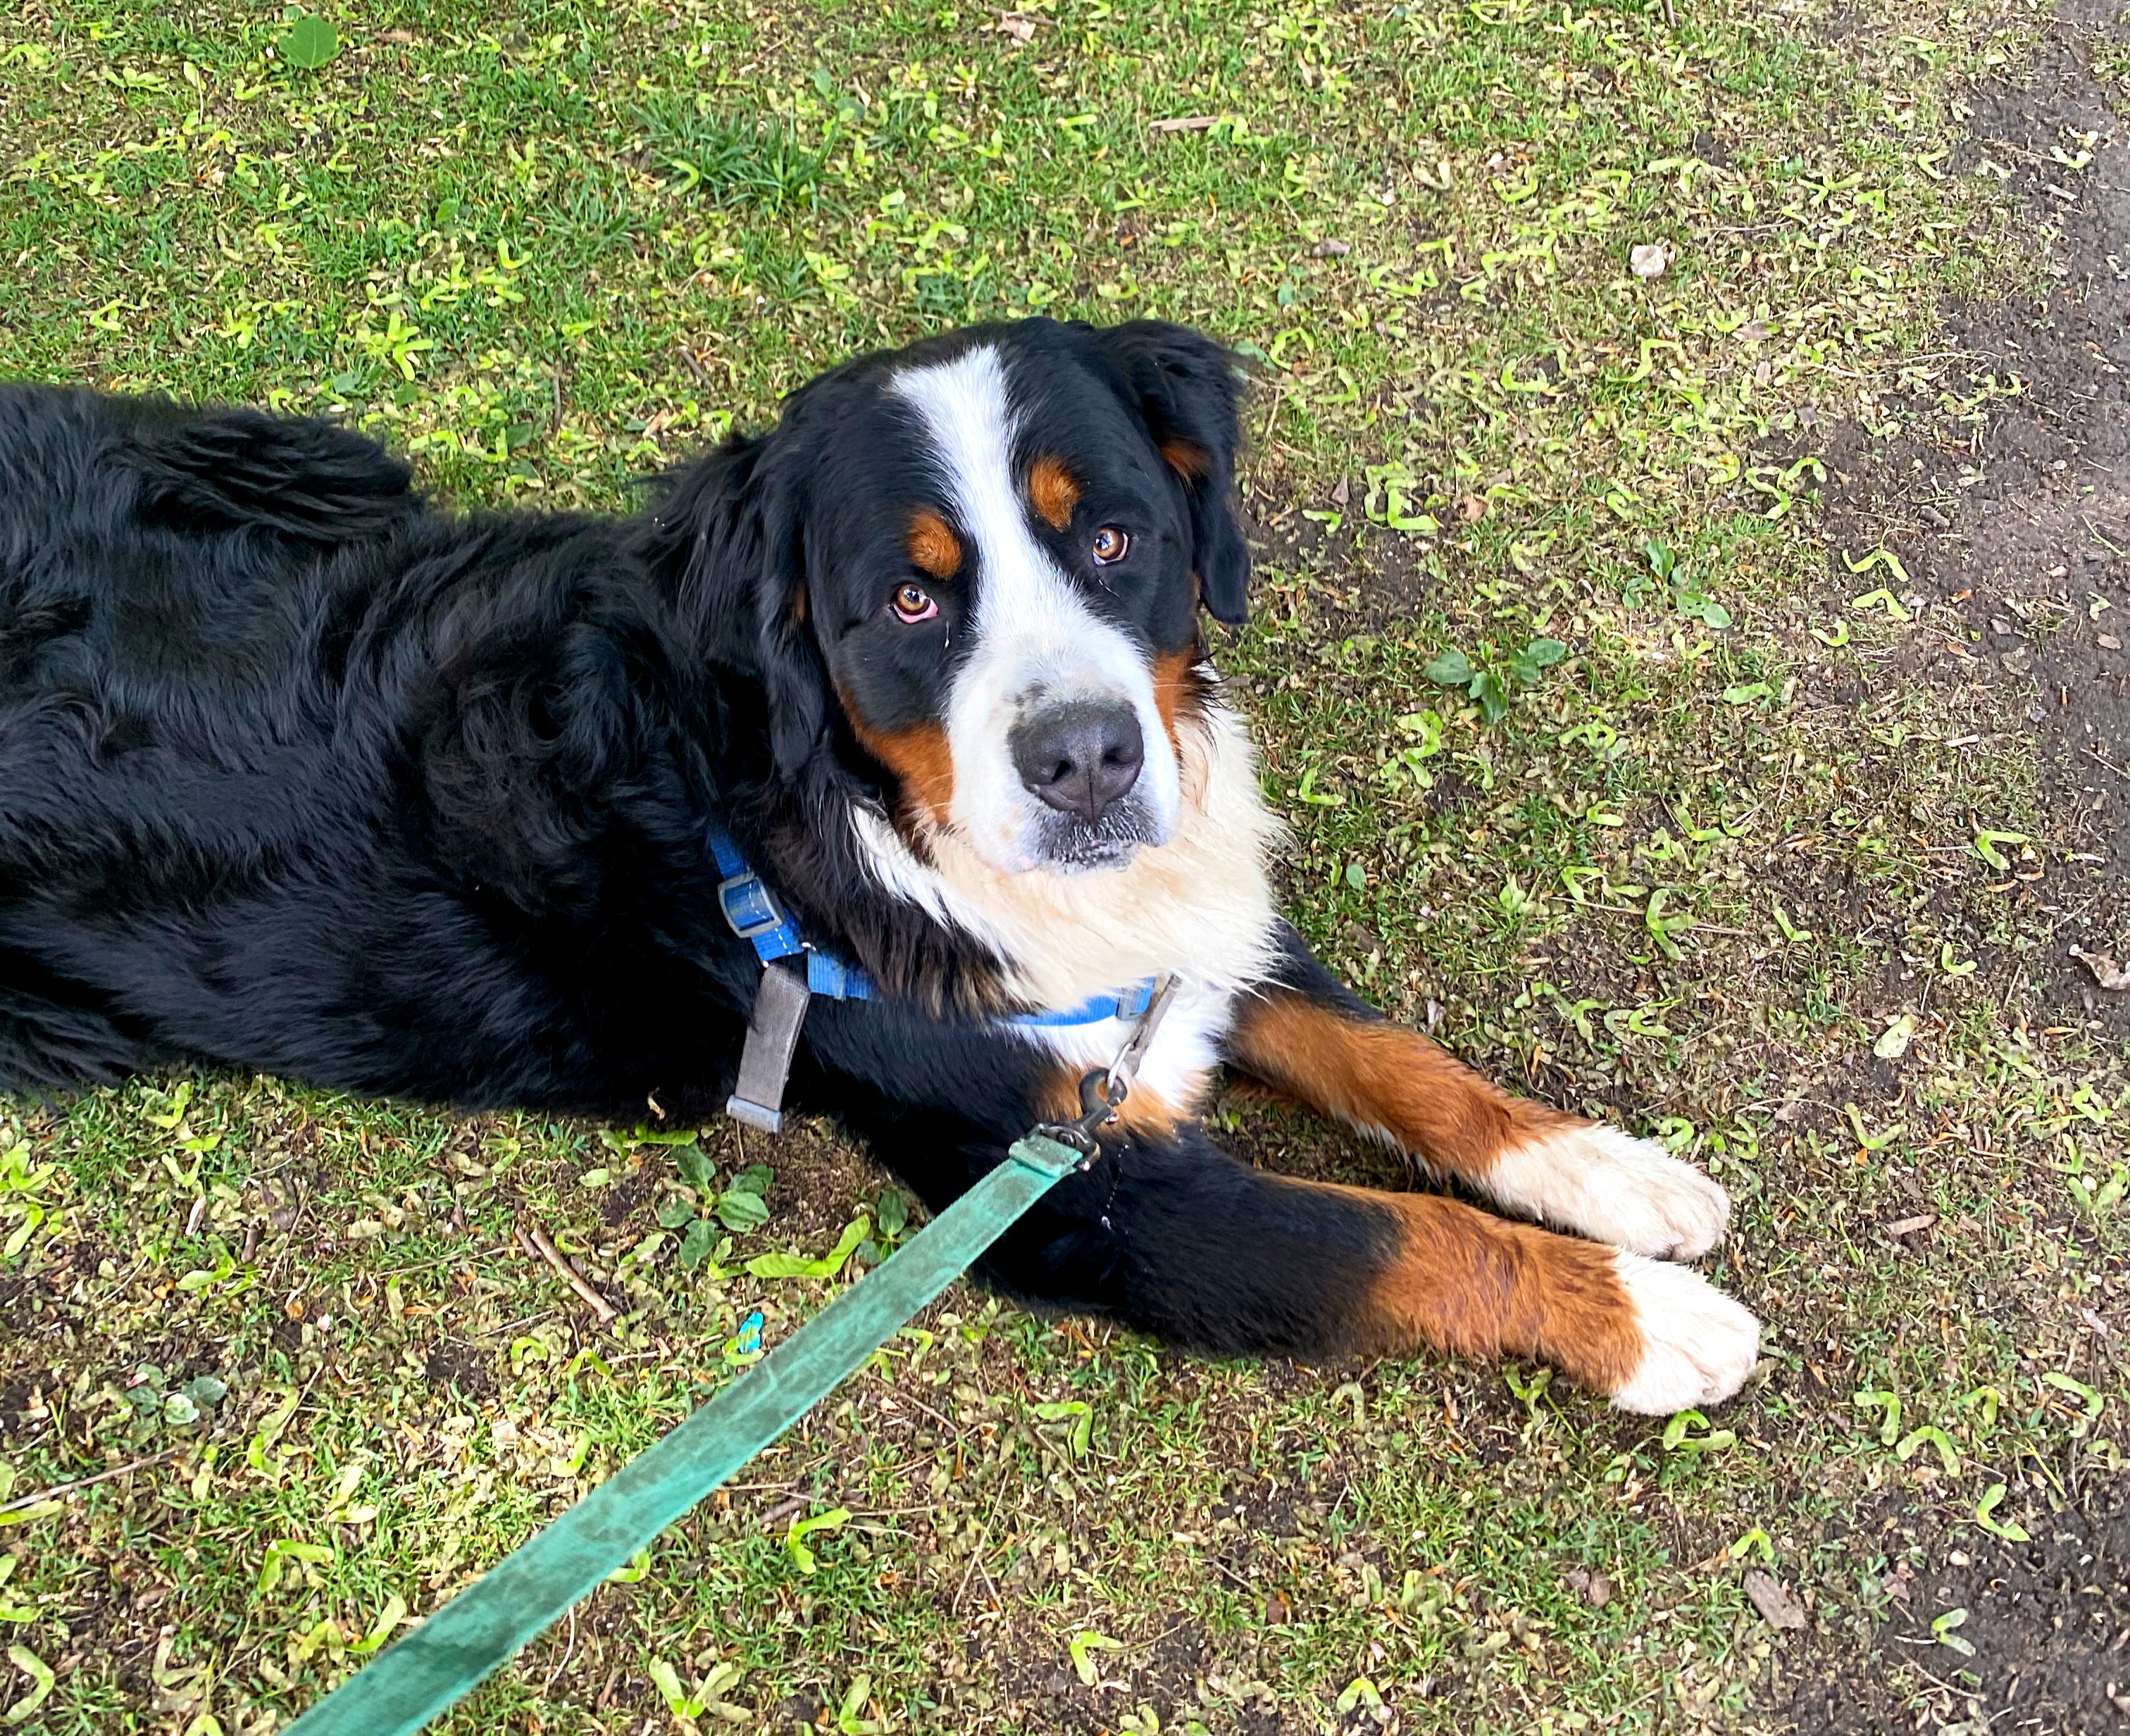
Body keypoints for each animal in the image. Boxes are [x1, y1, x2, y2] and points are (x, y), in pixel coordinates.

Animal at [0, 321, 1755, 1414]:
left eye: (1112, 534)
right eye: (909, 601)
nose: (1090, 759)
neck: (874, 820)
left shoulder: (1159, 959)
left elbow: (1395, 1058)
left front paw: (1610, 1168)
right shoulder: (1077, 1199)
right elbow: (1388, 1236)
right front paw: (1646, 1318)